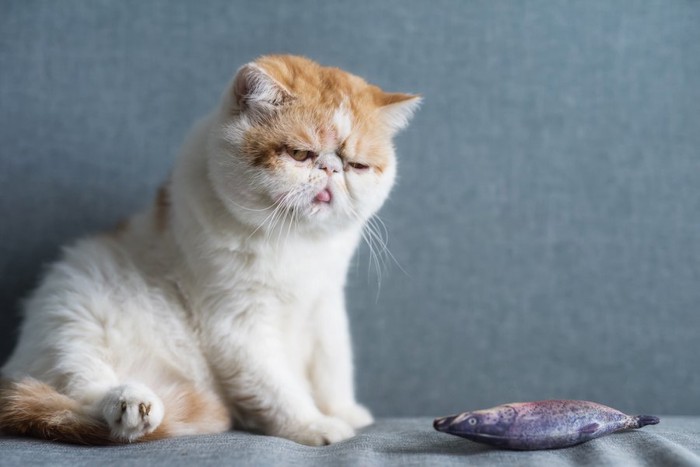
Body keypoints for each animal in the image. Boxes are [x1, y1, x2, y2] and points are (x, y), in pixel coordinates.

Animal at [0, 54, 418, 446]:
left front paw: (344, 411)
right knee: (81, 397)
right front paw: (316, 425)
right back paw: (134, 405)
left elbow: (333, 366)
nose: (332, 168)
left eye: (357, 165)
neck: (294, 242)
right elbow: (279, 388)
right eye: (300, 155)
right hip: (71, 318)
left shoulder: (324, 306)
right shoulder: (239, 328)